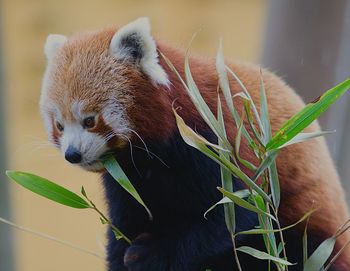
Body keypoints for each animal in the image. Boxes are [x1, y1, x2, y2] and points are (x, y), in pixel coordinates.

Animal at [40, 17, 348, 271]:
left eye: (89, 120)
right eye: (59, 125)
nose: (72, 154)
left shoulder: (213, 141)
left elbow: (238, 214)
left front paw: (146, 255)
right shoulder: (126, 180)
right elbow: (125, 225)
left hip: (314, 235)